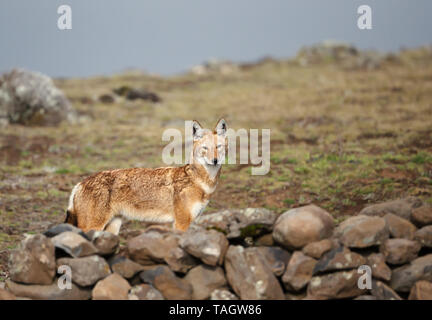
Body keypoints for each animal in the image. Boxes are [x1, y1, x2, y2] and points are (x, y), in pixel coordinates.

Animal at [66, 119, 228, 234]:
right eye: (205, 148)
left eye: (218, 147)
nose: (215, 160)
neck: (200, 182)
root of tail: (79, 184)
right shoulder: (181, 223)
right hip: (93, 227)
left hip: (112, 228)